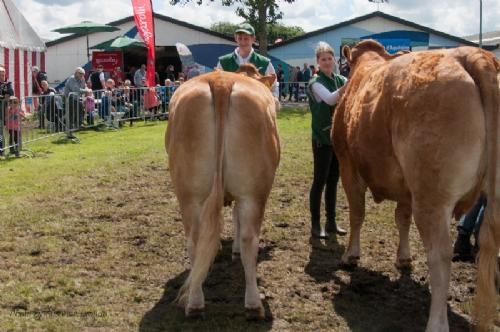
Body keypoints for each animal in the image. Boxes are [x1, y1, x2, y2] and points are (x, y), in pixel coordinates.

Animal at [165, 66, 280, 318]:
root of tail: (221, 82)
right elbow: (236, 220)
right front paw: (232, 249)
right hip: (254, 193)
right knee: (249, 240)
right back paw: (253, 304)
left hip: (188, 194)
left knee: (195, 240)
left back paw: (195, 303)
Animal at [334, 40, 498, 330]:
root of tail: (472, 53)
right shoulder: (406, 187)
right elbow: (402, 218)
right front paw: (404, 258)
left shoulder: (347, 164)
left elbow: (357, 213)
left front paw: (350, 255)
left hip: (432, 197)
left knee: (440, 254)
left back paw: (436, 323)